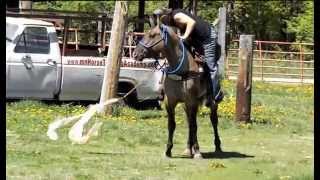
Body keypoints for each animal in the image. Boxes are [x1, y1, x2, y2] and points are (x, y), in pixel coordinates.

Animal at [132, 24, 222, 158]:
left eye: (152, 35)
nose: (135, 54)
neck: (182, 70)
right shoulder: (170, 102)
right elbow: (172, 125)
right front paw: (168, 150)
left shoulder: (192, 101)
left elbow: (195, 126)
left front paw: (198, 151)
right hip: (186, 106)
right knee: (190, 122)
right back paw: (188, 148)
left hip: (211, 103)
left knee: (213, 121)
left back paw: (217, 146)